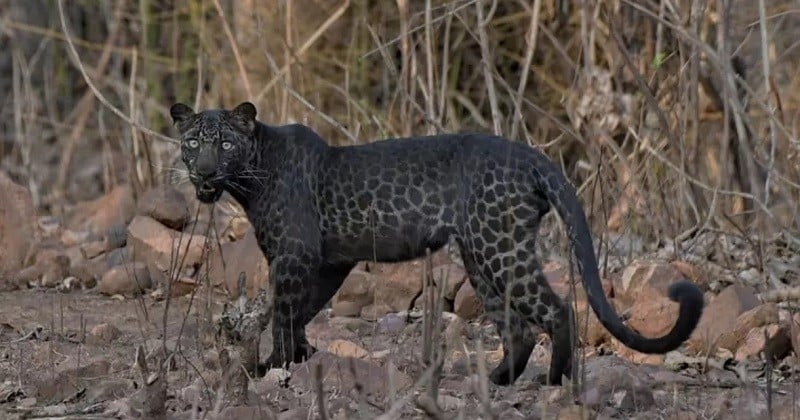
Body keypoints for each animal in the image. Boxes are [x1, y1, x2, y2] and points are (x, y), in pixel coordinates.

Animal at [167, 101, 700, 384]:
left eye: (225, 143)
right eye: (192, 142)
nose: (204, 171)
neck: (250, 177)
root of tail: (533, 156)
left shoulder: (294, 256)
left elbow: (282, 310)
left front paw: (273, 366)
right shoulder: (329, 261)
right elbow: (301, 311)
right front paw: (298, 358)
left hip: (498, 250)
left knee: (558, 309)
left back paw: (554, 381)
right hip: (482, 256)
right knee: (519, 328)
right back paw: (496, 381)